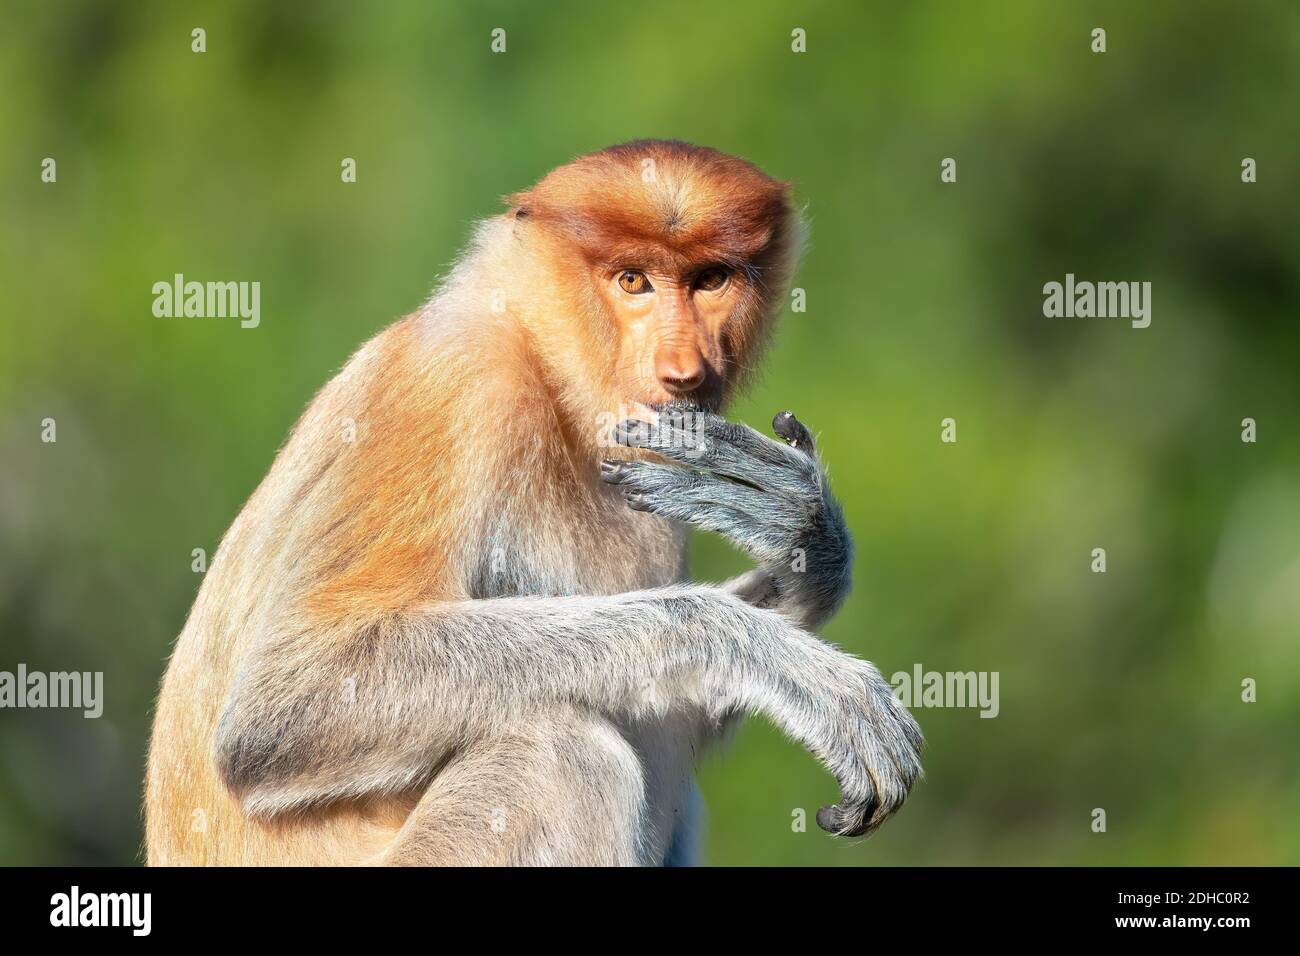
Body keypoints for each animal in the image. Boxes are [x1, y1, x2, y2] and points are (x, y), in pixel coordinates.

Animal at [144, 140, 922, 866]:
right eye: (632, 281)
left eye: (711, 280)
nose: (682, 371)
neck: (549, 370)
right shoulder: (451, 385)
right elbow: (285, 702)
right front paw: (775, 658)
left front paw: (805, 535)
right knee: (561, 753)